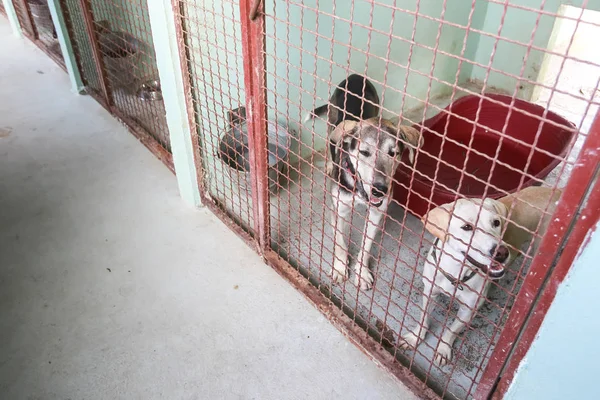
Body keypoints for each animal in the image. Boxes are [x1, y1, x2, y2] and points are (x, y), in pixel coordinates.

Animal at [400, 187, 564, 366]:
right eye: (466, 227)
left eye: (496, 223)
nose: (501, 253)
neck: (457, 272)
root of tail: (555, 190)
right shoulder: (429, 292)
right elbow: (423, 318)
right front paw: (415, 337)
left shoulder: (469, 310)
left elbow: (452, 330)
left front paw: (443, 348)